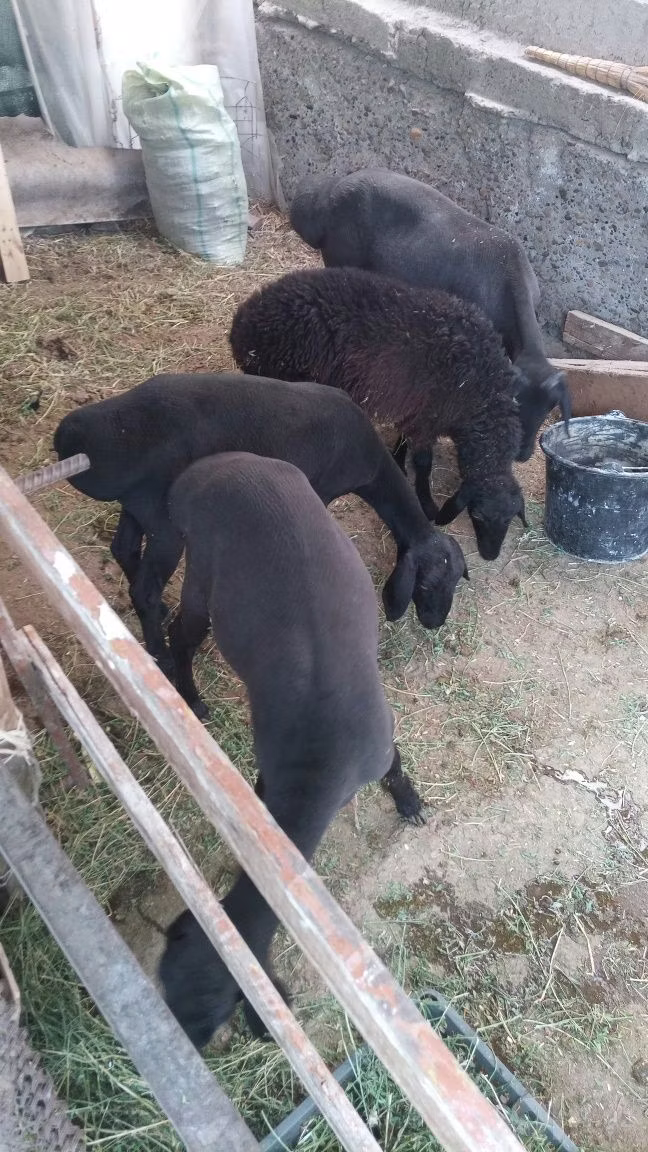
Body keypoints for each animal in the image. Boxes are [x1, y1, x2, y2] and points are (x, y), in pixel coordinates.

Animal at [53, 372, 468, 671]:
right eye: (426, 584)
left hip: (141, 504)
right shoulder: (320, 488)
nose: (435, 622)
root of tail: (94, 439)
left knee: (123, 549)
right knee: (145, 589)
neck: (373, 465)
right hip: (164, 521)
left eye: (456, 580)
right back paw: (164, 658)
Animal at [159, 452, 424, 1046]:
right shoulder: (272, 769)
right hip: (202, 563)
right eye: (165, 990)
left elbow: (394, 766)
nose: (182, 1051)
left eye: (212, 1018)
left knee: (181, 631)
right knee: (180, 632)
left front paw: (410, 803)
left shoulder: (377, 740)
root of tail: (208, 469)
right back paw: (189, 696)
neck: (317, 771)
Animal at [229, 268, 528, 560]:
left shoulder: (415, 409)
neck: (484, 395)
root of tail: (242, 323)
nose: (490, 555)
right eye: (477, 516)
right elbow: (423, 462)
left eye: (510, 519)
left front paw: (398, 459)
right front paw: (427, 504)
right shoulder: (428, 417)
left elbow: (404, 440)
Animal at [289, 167, 571, 461]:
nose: (522, 455)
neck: (509, 280)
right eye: (517, 403)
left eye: (548, 409)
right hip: (341, 260)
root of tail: (333, 189)